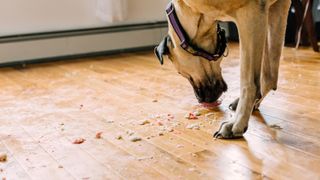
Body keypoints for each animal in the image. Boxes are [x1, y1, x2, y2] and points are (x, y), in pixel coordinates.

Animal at [154, 0, 292, 139]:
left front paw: (237, 122)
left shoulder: (251, 14)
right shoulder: (276, 7)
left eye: (183, 74)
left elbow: (248, 82)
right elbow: (269, 76)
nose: (200, 100)